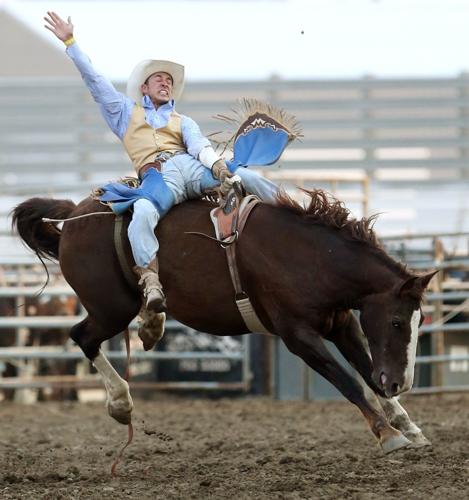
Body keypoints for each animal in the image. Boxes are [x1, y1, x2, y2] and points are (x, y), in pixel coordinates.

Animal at [11, 190, 436, 454]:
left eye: (419, 321)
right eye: (397, 322)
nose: (402, 382)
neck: (311, 257)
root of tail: (74, 214)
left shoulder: (342, 323)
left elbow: (367, 373)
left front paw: (410, 428)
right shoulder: (297, 335)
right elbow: (350, 382)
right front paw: (388, 435)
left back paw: (152, 324)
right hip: (110, 308)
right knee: (82, 337)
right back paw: (121, 403)